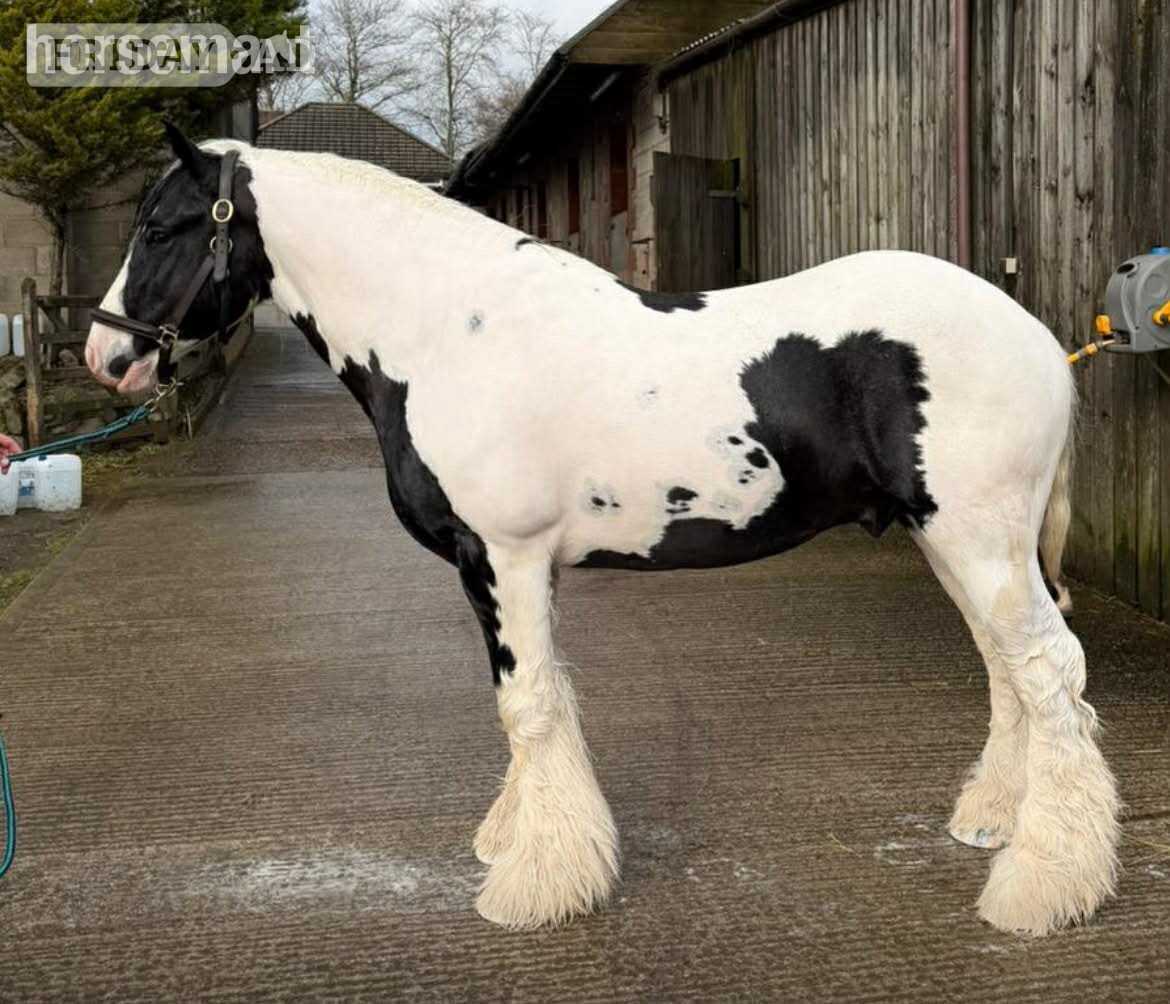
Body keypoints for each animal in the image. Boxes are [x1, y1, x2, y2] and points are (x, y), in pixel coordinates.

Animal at [85, 125, 1120, 935]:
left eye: (161, 227)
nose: (106, 356)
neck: (446, 333)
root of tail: (1036, 335)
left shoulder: (500, 557)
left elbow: (528, 704)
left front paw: (535, 884)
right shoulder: (516, 568)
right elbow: (538, 703)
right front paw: (520, 840)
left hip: (979, 541)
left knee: (1048, 672)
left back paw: (1042, 887)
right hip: (958, 542)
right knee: (1009, 673)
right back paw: (995, 821)